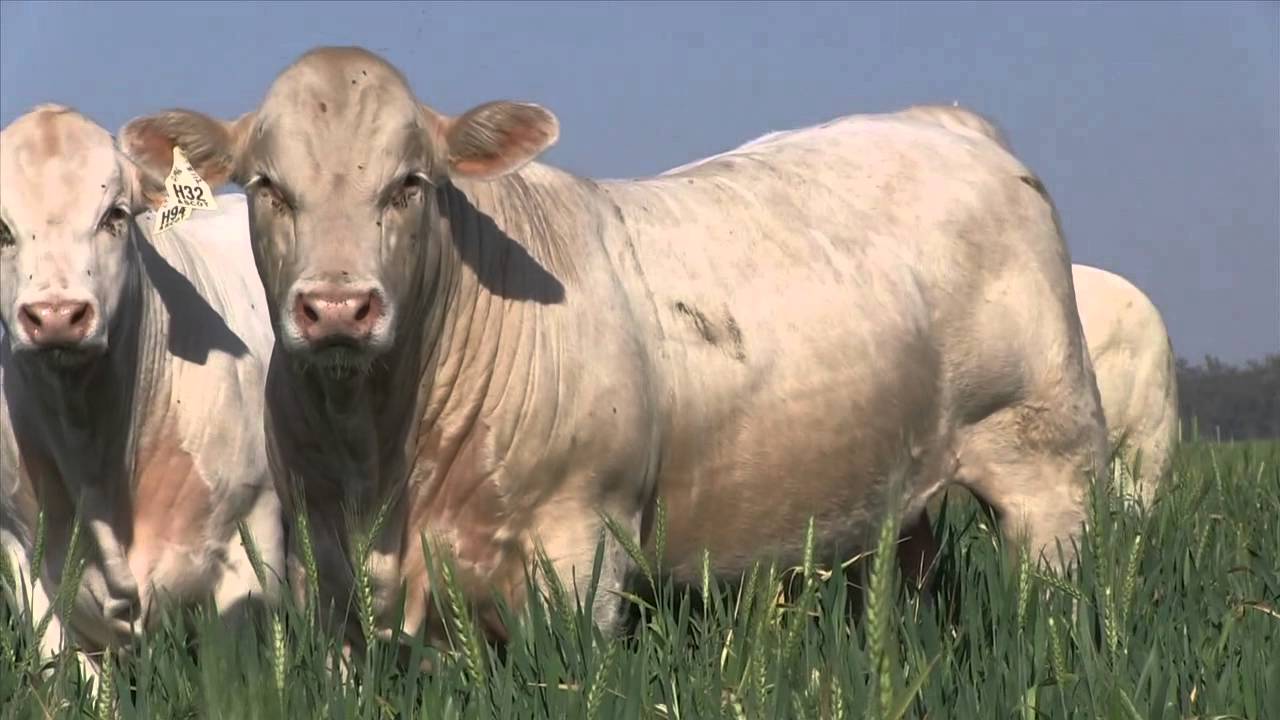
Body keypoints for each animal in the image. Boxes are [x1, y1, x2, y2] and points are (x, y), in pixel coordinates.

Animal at [118, 46, 1107, 653]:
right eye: (266, 187)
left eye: (411, 183)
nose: (336, 308)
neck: (382, 447)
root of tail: (943, 121)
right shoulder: (335, 572)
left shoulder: (579, 548)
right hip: (897, 495)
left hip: (1047, 463)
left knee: (1053, 598)